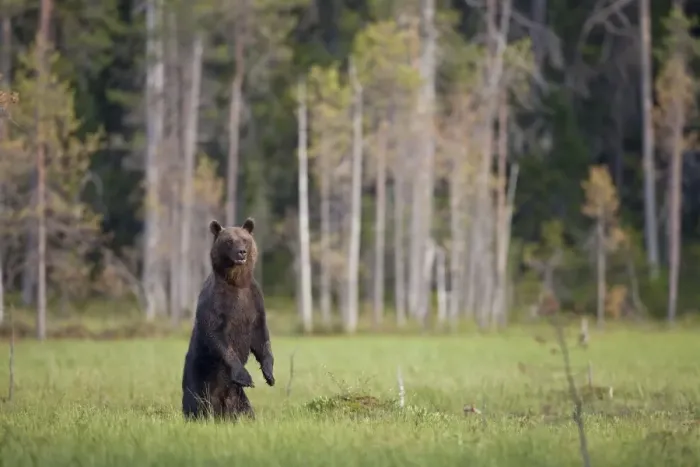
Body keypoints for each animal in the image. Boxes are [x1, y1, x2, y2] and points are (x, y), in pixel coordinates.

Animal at [181, 217, 275, 421]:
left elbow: (261, 337)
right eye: (229, 241)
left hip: (237, 397)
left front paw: (269, 374)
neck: (236, 282)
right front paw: (245, 377)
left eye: (245, 240)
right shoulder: (216, 303)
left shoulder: (254, 302)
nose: (242, 252)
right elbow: (217, 336)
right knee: (195, 401)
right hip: (198, 377)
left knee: (245, 409)